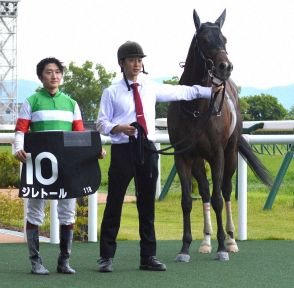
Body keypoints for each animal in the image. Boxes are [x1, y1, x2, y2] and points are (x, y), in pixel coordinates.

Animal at [167, 9, 272, 260]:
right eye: (204, 40)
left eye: (225, 39)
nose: (226, 67)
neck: (196, 107)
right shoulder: (183, 156)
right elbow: (188, 200)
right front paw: (185, 248)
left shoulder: (217, 154)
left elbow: (218, 199)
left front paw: (223, 247)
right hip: (198, 160)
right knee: (205, 191)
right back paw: (206, 241)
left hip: (231, 154)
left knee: (224, 191)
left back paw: (232, 240)